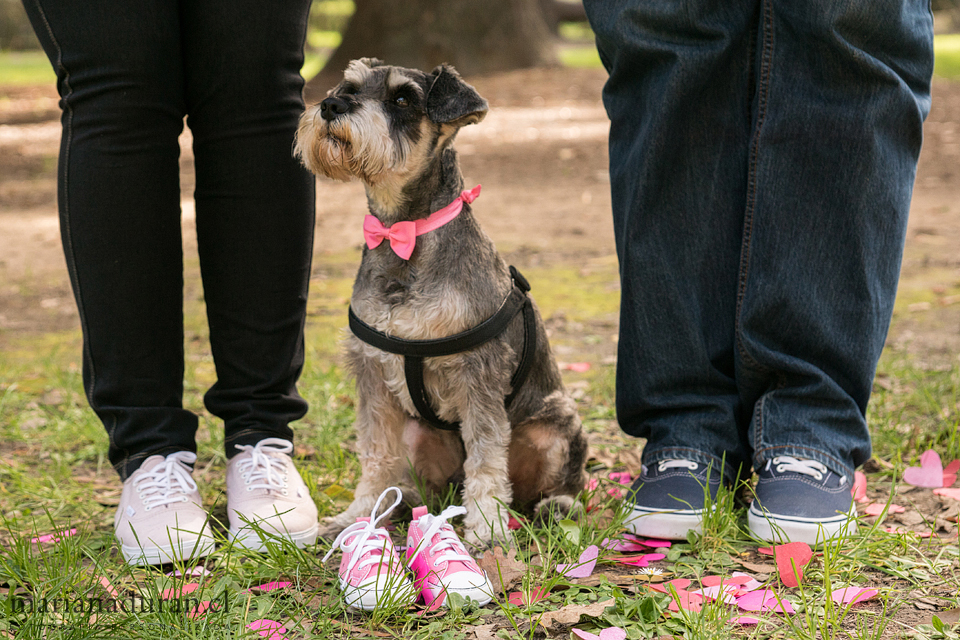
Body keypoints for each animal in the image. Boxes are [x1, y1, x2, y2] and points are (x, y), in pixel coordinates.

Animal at [296, 58, 588, 544]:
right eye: (349, 87)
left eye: (402, 99)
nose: (332, 105)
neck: (403, 233)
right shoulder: (372, 375)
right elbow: (374, 453)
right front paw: (357, 515)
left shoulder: (478, 374)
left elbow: (486, 459)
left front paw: (487, 527)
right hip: (418, 437)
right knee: (426, 484)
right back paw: (400, 506)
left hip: (555, 426)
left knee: (547, 486)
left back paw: (552, 505)